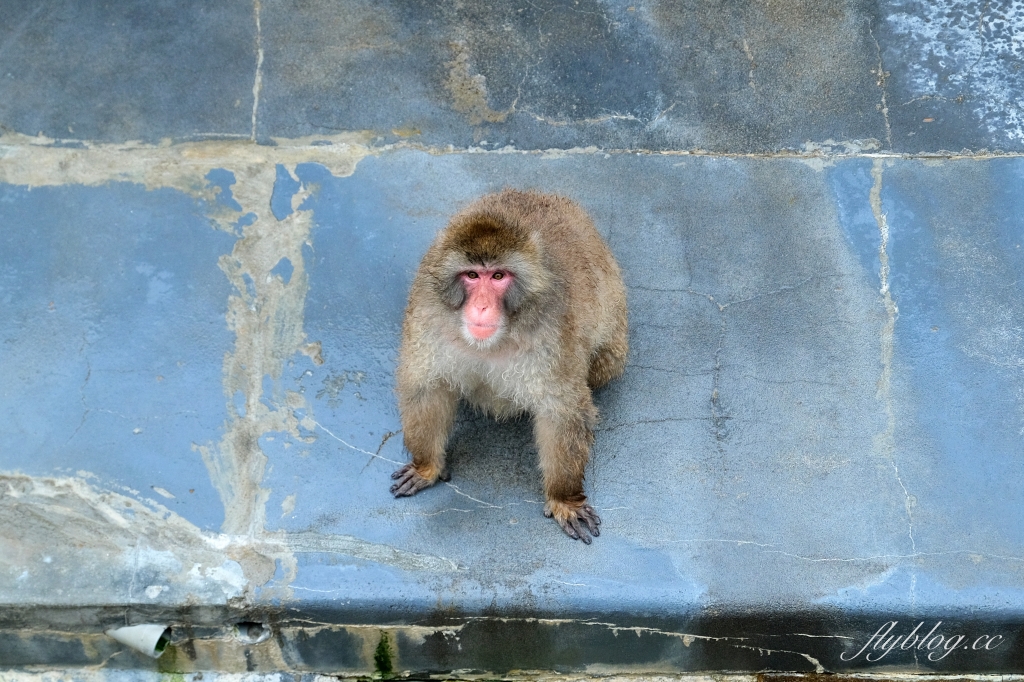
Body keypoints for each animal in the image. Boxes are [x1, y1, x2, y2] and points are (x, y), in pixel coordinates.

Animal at [391, 188, 626, 540]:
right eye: (472, 275)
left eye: (498, 276)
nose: (482, 306)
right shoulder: (427, 311)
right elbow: (426, 387)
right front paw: (426, 466)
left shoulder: (551, 331)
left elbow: (562, 412)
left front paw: (564, 497)